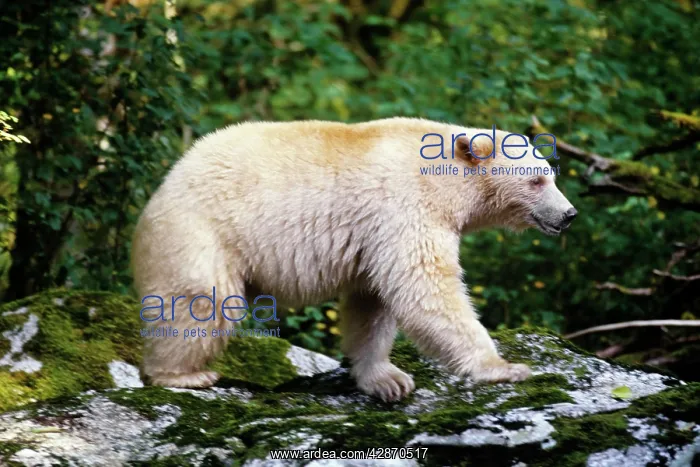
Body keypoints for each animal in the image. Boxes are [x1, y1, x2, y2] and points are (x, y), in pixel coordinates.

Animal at [131, 117, 577, 401]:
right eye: (537, 180)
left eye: (552, 175)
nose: (569, 214)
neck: (446, 176)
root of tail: (165, 183)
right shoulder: (406, 206)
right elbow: (425, 286)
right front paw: (503, 367)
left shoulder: (373, 236)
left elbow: (373, 304)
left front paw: (387, 380)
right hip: (204, 231)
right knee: (202, 300)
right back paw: (183, 374)